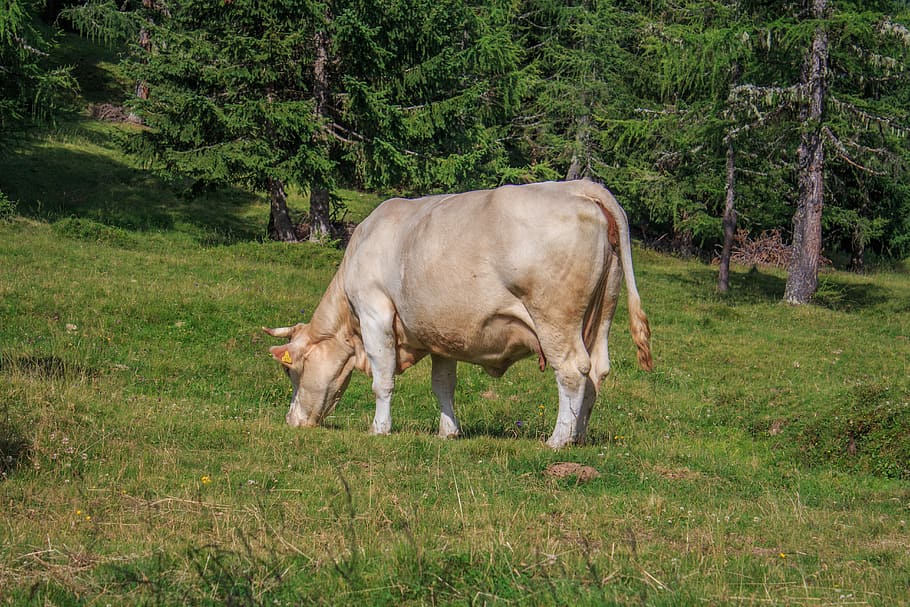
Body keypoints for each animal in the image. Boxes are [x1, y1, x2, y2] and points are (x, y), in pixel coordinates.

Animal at [266, 178, 656, 448]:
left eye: (291, 370)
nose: (292, 420)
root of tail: (580, 187)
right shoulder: (441, 333)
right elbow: (443, 385)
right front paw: (448, 431)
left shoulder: (375, 312)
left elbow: (383, 380)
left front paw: (379, 428)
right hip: (601, 315)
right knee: (597, 371)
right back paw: (579, 437)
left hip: (555, 319)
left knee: (573, 371)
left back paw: (558, 440)